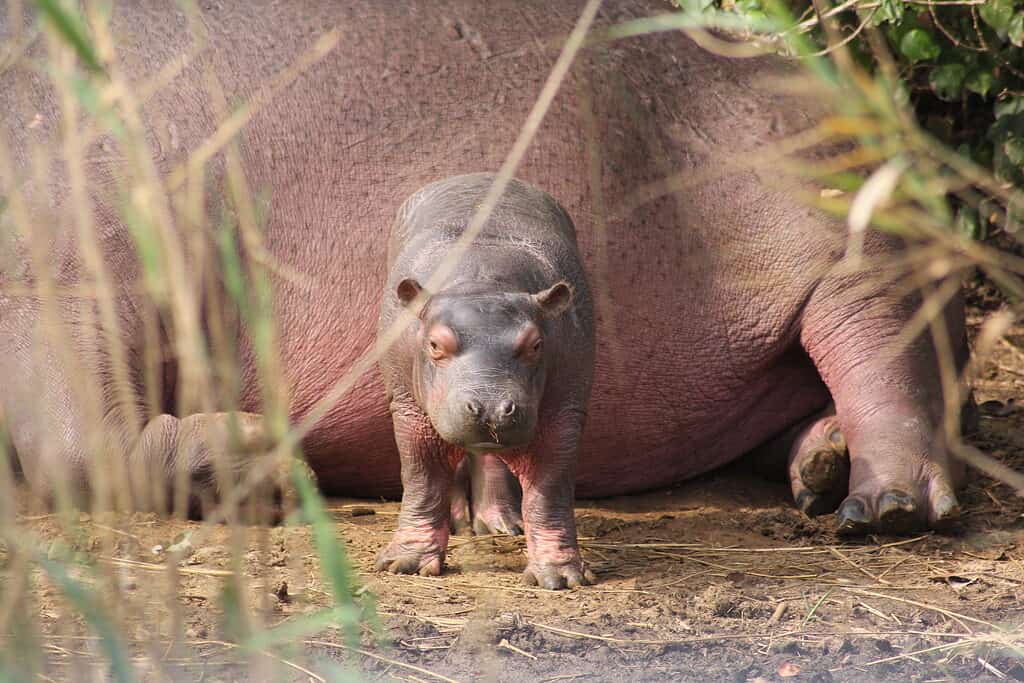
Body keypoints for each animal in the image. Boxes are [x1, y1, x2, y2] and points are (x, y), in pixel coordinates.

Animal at [380, 174, 598, 589]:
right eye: (434, 344)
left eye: (536, 343)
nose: (492, 407)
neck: (482, 282)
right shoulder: (409, 410)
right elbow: (421, 478)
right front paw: (406, 564)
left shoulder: (565, 411)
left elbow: (550, 490)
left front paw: (561, 577)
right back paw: (460, 524)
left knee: (490, 457)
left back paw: (500, 526)